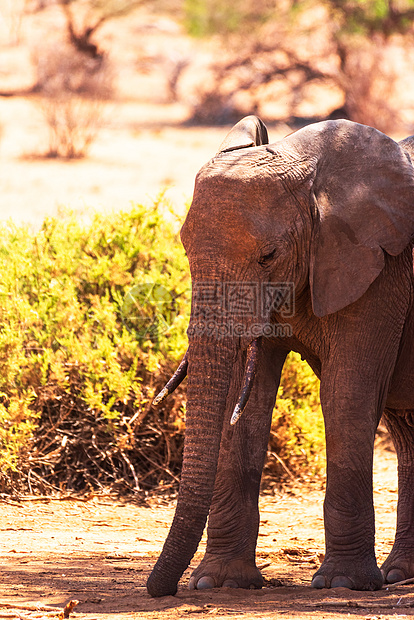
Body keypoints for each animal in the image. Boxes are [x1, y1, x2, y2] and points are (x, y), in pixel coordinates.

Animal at [146, 115, 414, 596]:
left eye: (268, 256)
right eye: (185, 247)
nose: (160, 589)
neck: (306, 165)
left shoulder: (381, 269)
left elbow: (346, 397)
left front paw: (342, 584)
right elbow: (247, 402)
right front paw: (219, 583)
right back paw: (400, 574)